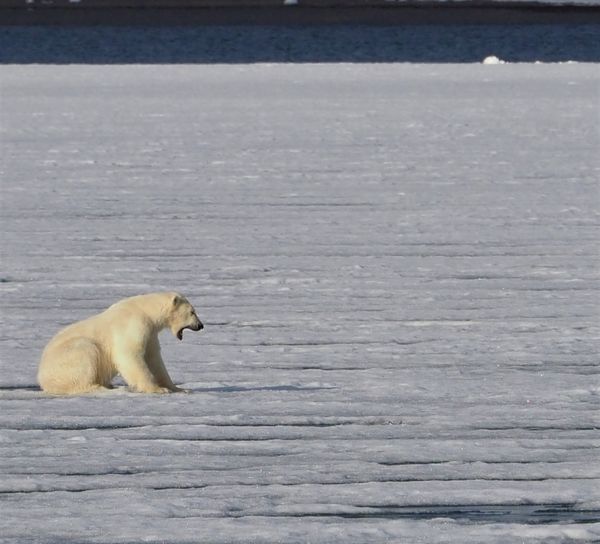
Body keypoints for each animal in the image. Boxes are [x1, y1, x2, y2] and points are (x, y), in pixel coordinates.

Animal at [37, 292, 203, 394]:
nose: (200, 325)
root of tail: (41, 378)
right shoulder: (133, 325)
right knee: (86, 354)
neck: (145, 311)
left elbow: (154, 359)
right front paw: (157, 389)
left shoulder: (150, 334)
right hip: (70, 355)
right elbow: (130, 356)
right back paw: (103, 387)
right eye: (192, 312)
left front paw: (178, 388)